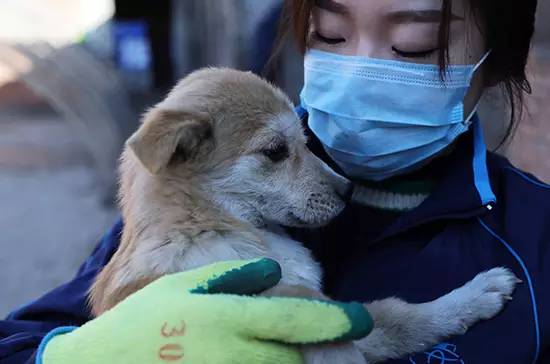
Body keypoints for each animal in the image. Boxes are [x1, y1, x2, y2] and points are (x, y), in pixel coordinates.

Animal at [90, 68, 520, 364]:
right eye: (276, 151)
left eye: (305, 140)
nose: (348, 190)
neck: (212, 223)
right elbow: (354, 321)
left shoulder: (345, 315)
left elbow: (396, 317)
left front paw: (475, 295)